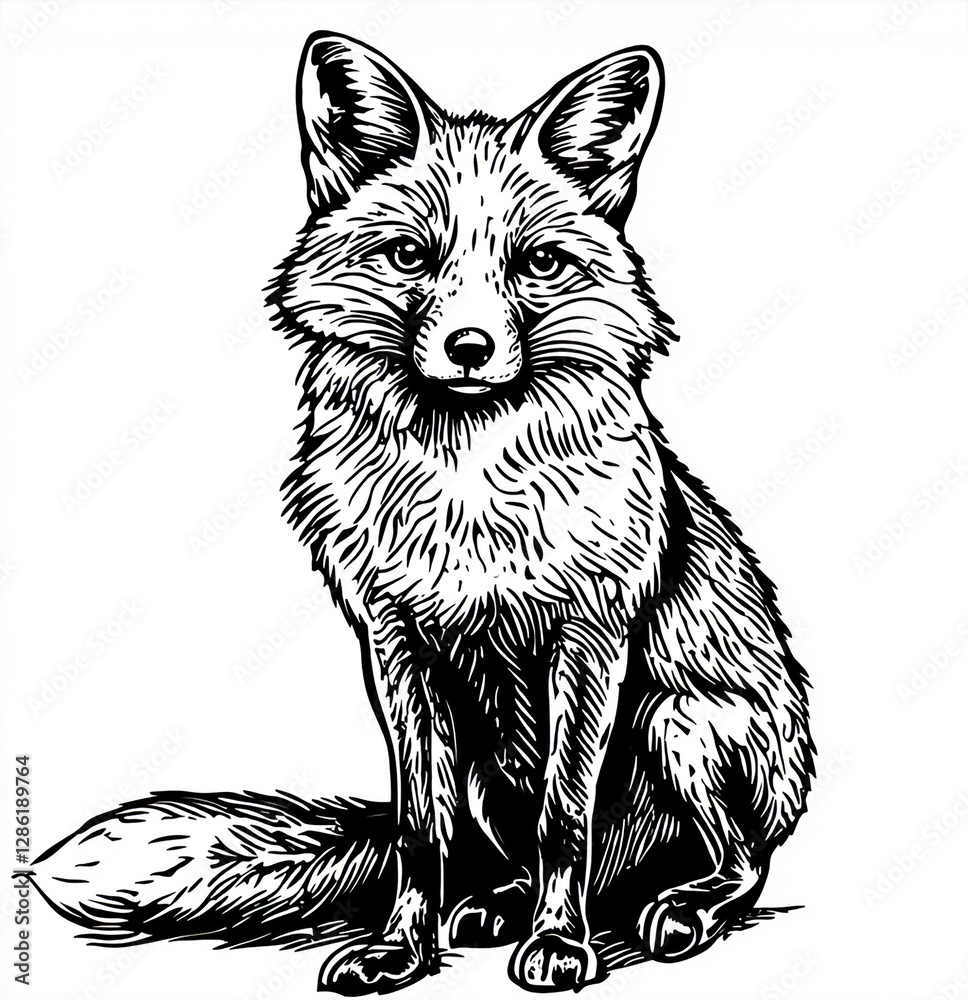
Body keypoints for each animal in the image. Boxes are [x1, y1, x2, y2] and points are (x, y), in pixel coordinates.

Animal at [29, 32, 813, 996]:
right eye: (410, 256)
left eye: (538, 264)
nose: (469, 349)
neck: (469, 494)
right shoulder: (395, 646)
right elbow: (418, 830)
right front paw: (402, 950)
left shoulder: (591, 641)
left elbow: (565, 817)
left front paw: (561, 946)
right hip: (486, 762)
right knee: (510, 855)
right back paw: (497, 905)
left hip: (681, 724)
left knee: (740, 860)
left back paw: (681, 908)